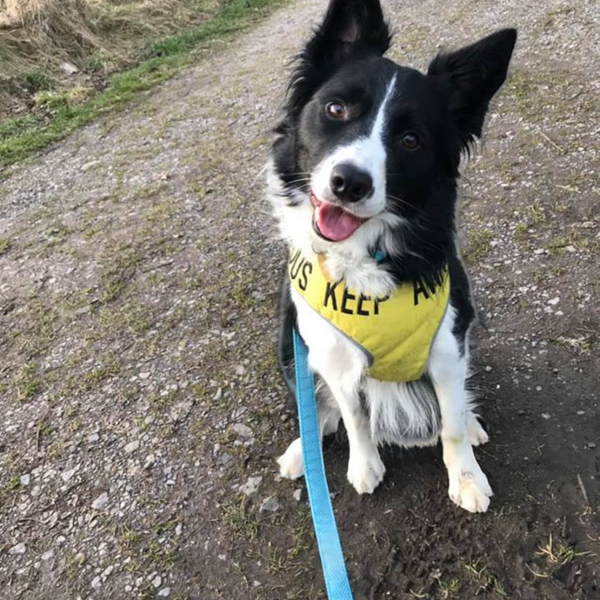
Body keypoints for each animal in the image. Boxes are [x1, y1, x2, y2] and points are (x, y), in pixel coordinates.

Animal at [268, 1, 516, 516]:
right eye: (336, 109)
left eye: (410, 141)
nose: (349, 183)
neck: (367, 258)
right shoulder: (333, 354)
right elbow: (354, 417)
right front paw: (364, 467)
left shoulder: (446, 344)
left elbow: (450, 422)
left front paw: (466, 478)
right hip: (288, 341)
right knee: (317, 407)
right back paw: (303, 449)